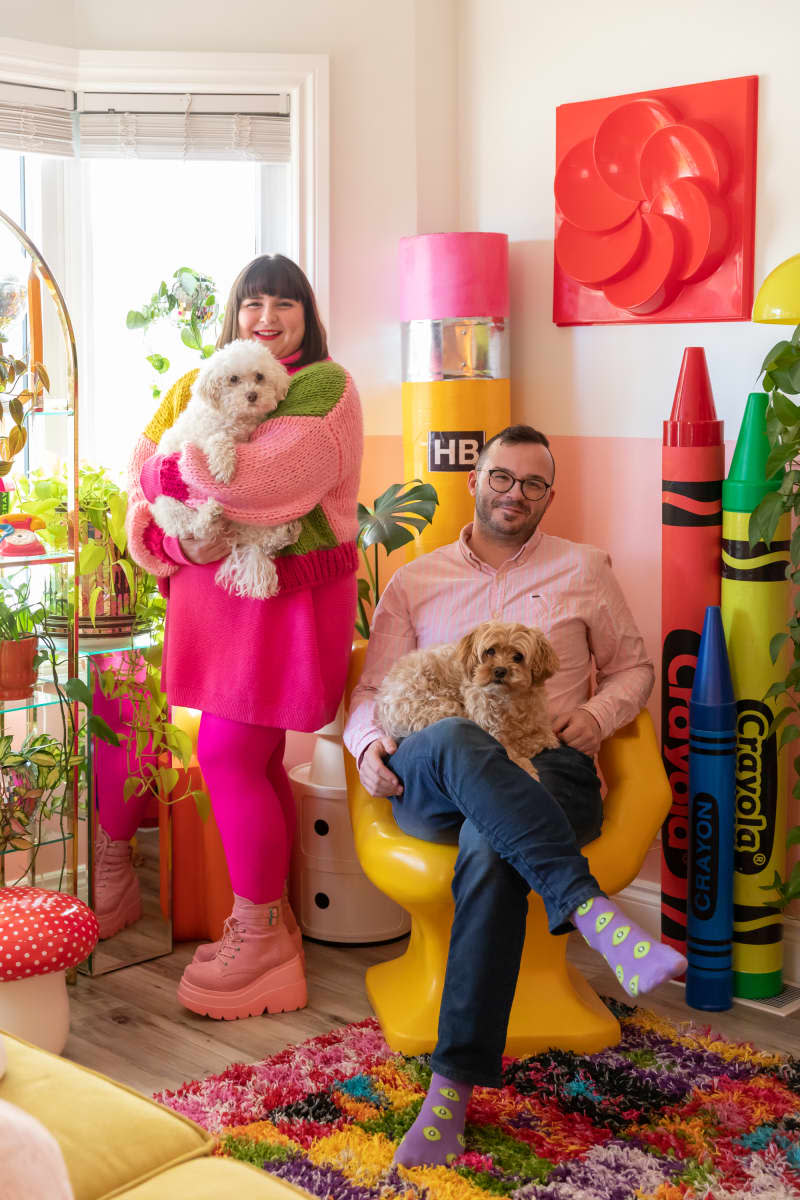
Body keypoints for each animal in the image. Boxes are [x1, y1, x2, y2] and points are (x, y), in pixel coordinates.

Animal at [149, 338, 299, 600]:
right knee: (198, 529)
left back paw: (283, 534)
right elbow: (219, 440)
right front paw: (223, 466)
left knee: (258, 538)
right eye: (233, 379)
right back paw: (210, 516)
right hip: (171, 506)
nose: (252, 395)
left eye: (259, 376)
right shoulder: (202, 439)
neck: (237, 418)